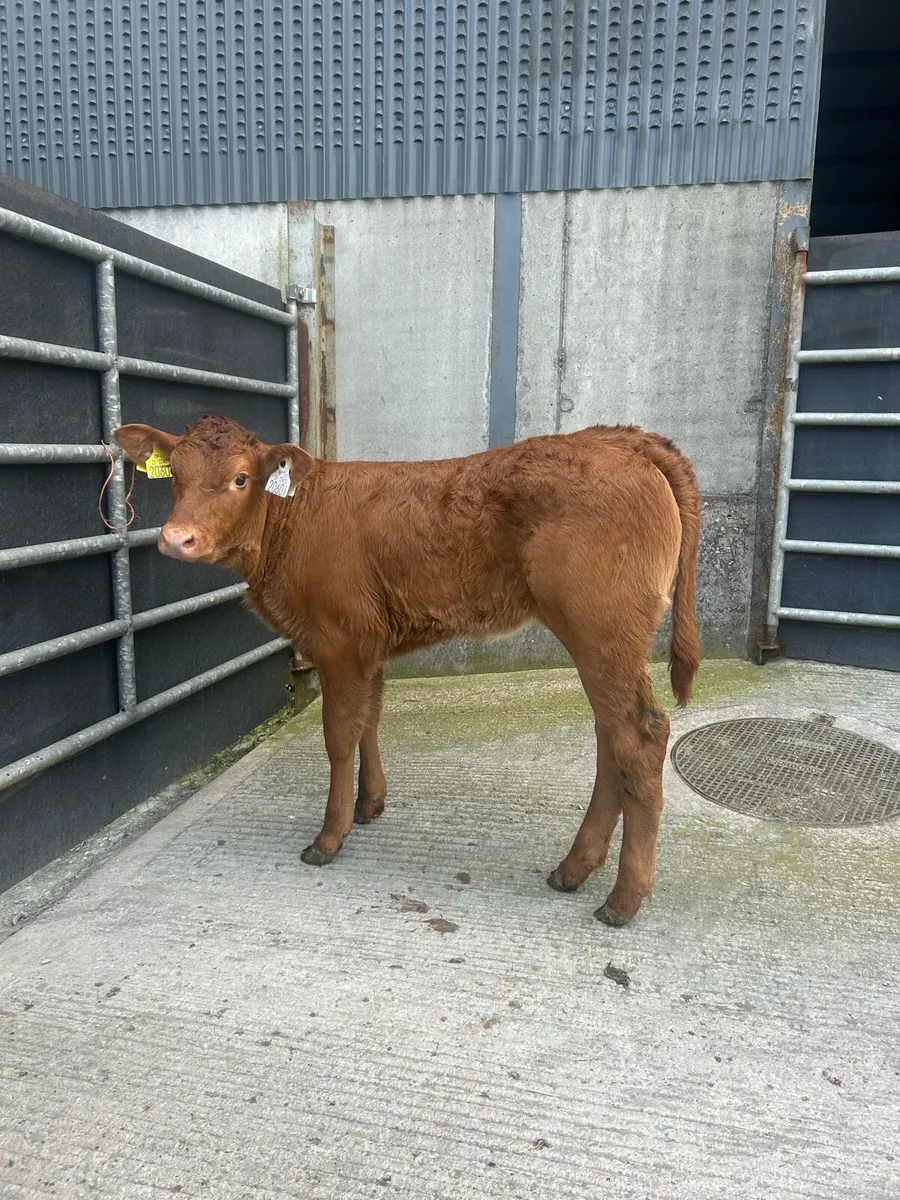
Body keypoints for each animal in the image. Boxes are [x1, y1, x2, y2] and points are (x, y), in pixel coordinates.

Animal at [115, 417, 701, 926]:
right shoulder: (368, 643)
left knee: (639, 737)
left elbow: (338, 736)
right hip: (604, 641)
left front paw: (329, 837)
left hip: (601, 627)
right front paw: (369, 803)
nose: (176, 538)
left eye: (240, 478)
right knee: (611, 737)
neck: (292, 520)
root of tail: (619, 437)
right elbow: (369, 720)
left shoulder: (338, 639)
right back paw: (575, 869)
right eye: (177, 474)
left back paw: (622, 899)